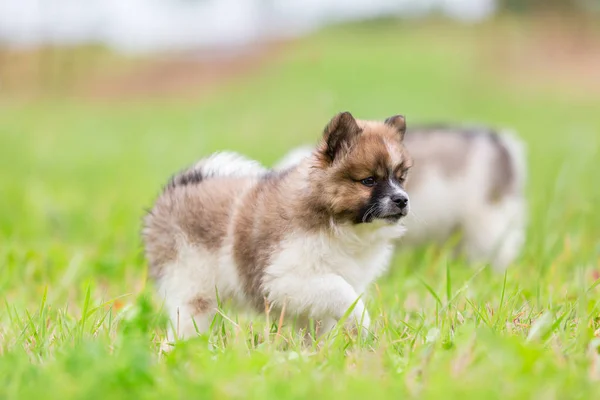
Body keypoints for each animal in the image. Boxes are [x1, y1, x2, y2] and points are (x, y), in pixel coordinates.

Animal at [142, 113, 412, 344]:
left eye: (400, 178)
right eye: (369, 180)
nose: (402, 200)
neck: (337, 222)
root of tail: (174, 189)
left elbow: (318, 321)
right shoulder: (283, 280)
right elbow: (340, 292)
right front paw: (361, 324)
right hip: (192, 288)